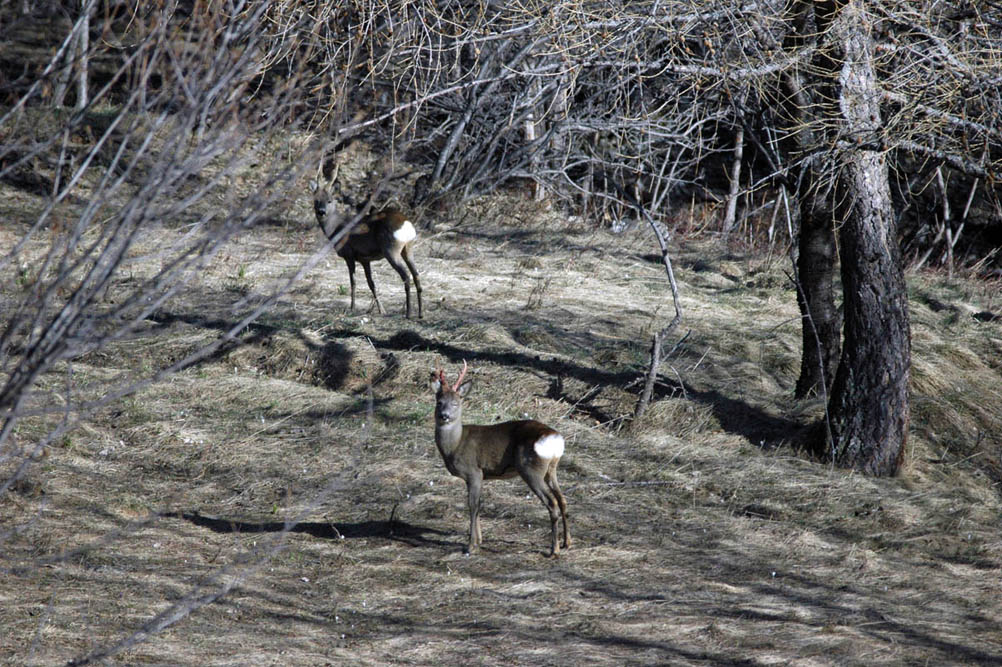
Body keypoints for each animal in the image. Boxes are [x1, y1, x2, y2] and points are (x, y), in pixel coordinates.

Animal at [310, 175, 424, 318]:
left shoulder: (349, 254)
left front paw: (352, 308)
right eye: (316, 200)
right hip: (408, 248)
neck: (336, 229)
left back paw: (408, 313)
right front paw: (381, 310)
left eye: (329, 201)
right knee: (416, 274)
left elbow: (353, 282)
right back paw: (420, 313)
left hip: (391, 250)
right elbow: (371, 283)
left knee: (406, 276)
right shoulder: (365, 259)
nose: (321, 212)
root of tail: (407, 225)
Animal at [430, 360, 573, 552]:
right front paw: (480, 540)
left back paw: (554, 550)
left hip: (531, 469)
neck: (455, 445)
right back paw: (567, 542)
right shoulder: (479, 476)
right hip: (551, 469)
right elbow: (479, 504)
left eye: (455, 403)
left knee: (552, 502)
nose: (444, 416)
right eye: (439, 402)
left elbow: (473, 505)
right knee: (562, 499)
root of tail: (554, 438)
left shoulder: (474, 471)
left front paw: (471, 545)